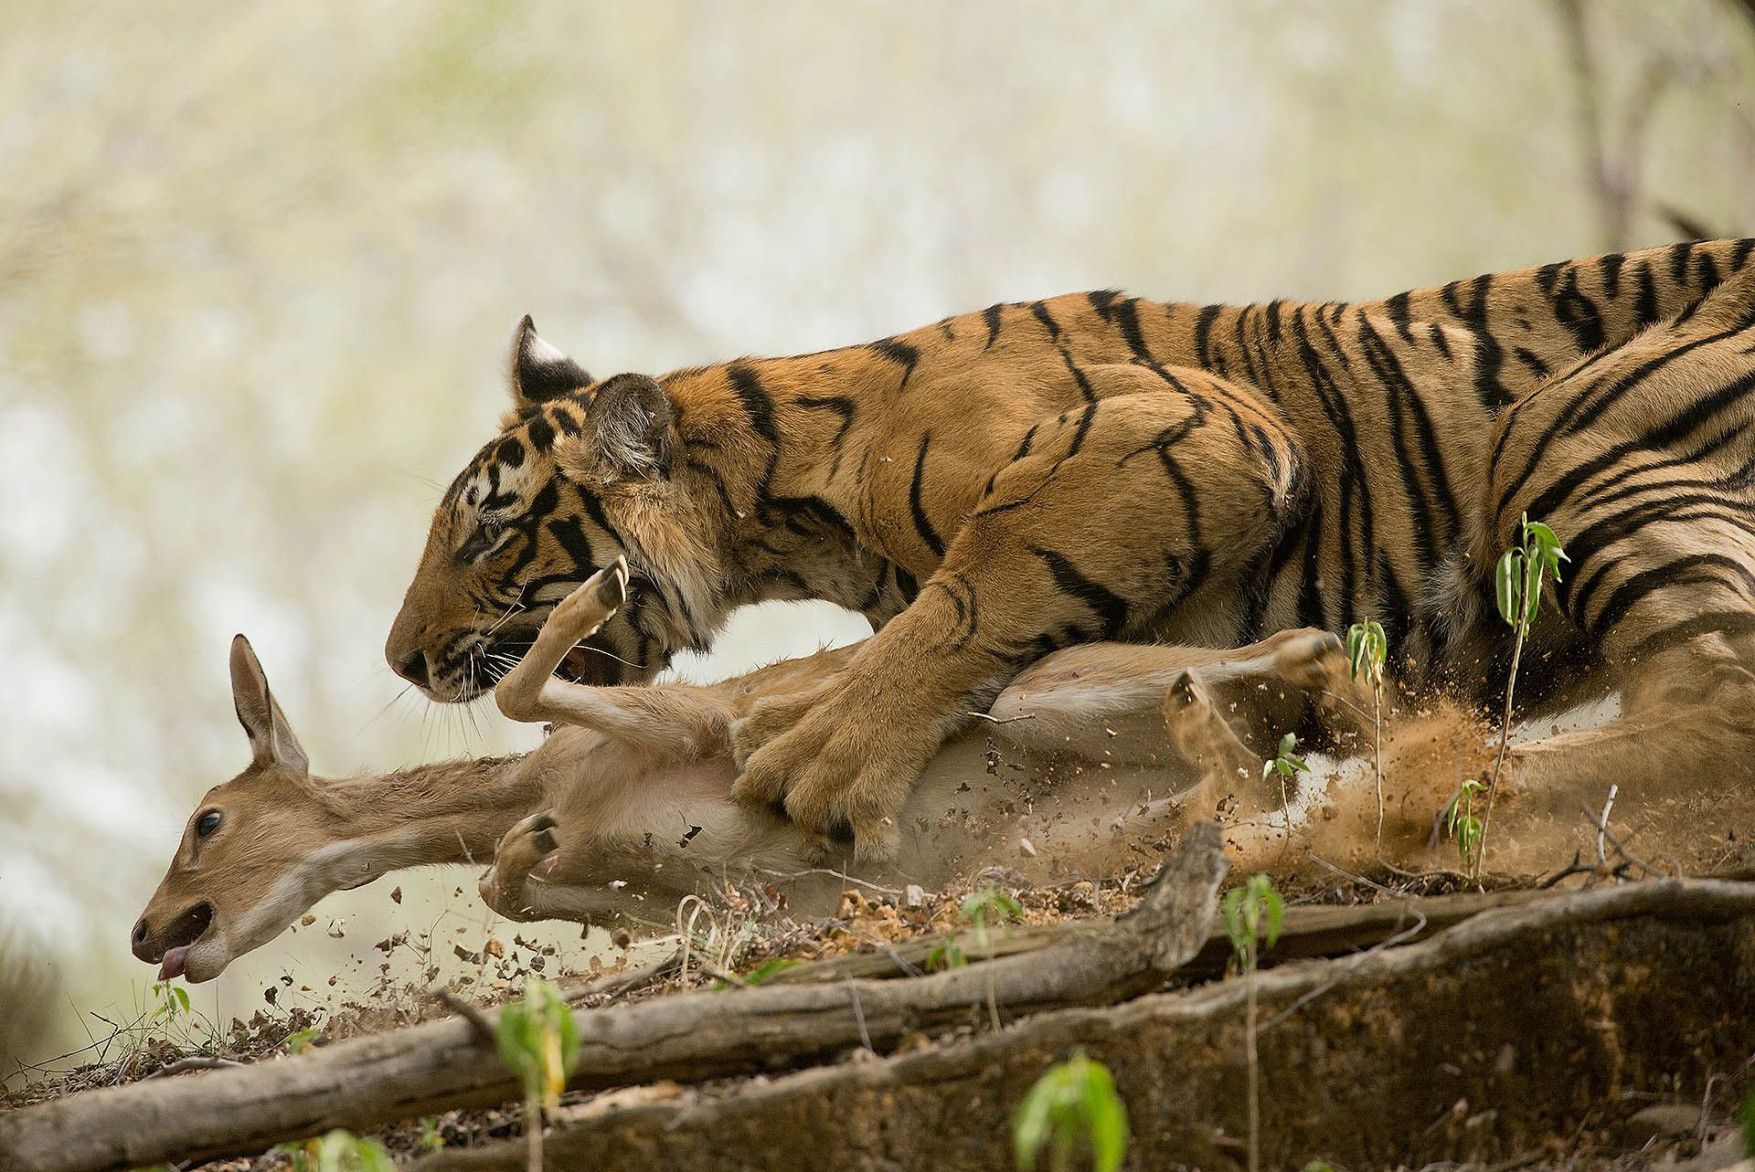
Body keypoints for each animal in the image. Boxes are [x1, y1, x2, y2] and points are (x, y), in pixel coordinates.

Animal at [140, 561, 1368, 982]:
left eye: (207, 818)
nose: (151, 932)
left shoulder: (696, 722)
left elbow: (524, 694)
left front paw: (596, 590)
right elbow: (511, 883)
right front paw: (531, 852)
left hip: (1050, 691)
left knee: (1291, 664)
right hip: (1055, 839)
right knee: (1256, 781)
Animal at [384, 240, 1755, 859]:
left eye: (489, 523)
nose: (399, 659)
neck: (789, 502)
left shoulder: (1197, 427)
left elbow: (974, 589)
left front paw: (828, 749)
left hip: (1569, 430)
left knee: (1717, 711)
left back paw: (1399, 790)